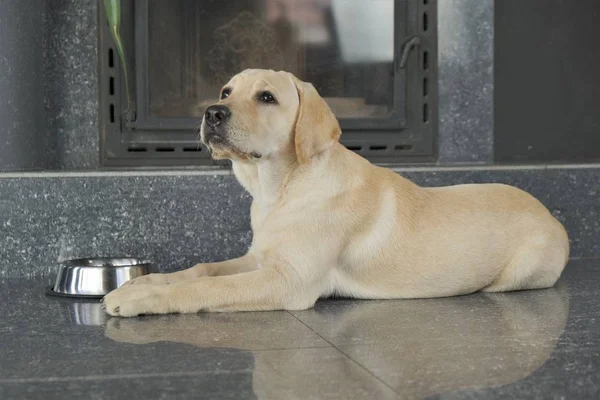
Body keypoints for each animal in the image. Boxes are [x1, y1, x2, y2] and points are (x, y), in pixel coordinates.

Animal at [104, 69, 572, 318]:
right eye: (225, 92)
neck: (281, 188)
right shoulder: (261, 258)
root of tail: (551, 215)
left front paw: (142, 295)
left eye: (267, 97)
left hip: (518, 273)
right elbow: (201, 270)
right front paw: (144, 282)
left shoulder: (287, 281)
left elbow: (206, 289)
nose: (212, 113)